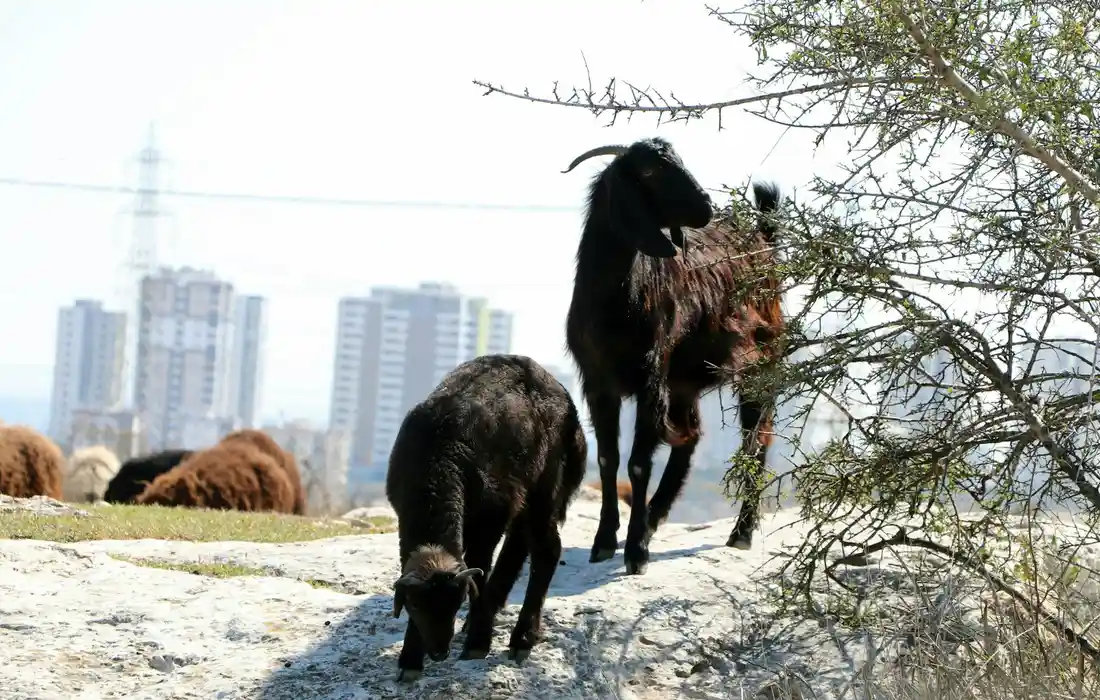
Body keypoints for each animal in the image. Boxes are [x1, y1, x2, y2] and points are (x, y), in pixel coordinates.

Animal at [386, 353, 587, 681]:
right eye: (415, 606)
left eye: (455, 603)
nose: (439, 653)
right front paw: (410, 660)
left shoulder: (493, 513)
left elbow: (479, 564)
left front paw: (478, 643)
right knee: (520, 543)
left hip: (546, 483)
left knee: (546, 548)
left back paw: (522, 638)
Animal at [562, 137, 785, 575]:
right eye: (649, 170)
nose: (706, 205)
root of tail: (762, 240)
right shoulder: (598, 382)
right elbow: (608, 459)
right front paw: (604, 542)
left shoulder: (652, 377)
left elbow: (637, 463)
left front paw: (635, 553)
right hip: (684, 380)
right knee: (691, 437)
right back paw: (653, 519)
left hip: (760, 362)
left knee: (756, 441)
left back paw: (740, 533)